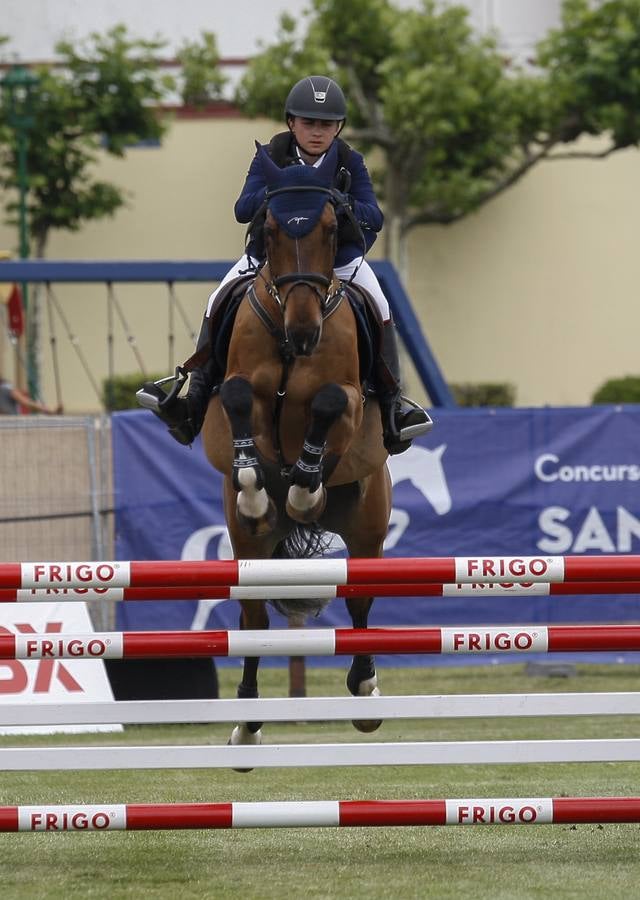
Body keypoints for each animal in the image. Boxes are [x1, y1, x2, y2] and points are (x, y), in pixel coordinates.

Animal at [201, 144, 390, 756]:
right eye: (272, 227)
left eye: (333, 228)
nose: (305, 334)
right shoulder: (240, 386)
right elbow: (239, 398)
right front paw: (256, 487)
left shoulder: (349, 399)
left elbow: (328, 404)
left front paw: (305, 489)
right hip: (247, 548)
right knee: (253, 620)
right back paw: (247, 722)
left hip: (368, 528)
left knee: (359, 603)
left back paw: (366, 692)